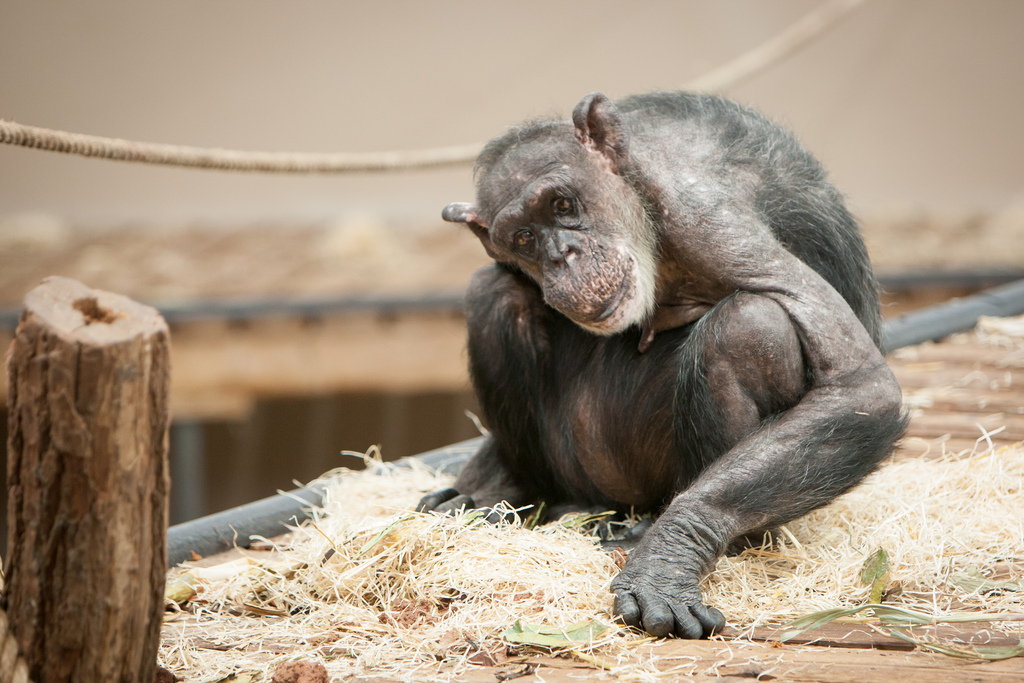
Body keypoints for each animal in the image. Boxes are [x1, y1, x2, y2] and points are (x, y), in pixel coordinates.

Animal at [415, 92, 905, 643]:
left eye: (562, 205)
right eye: (523, 238)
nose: (563, 254)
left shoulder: (709, 220)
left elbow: (858, 384)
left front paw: (667, 561)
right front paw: (479, 490)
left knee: (750, 325)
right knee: (495, 294)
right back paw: (541, 499)